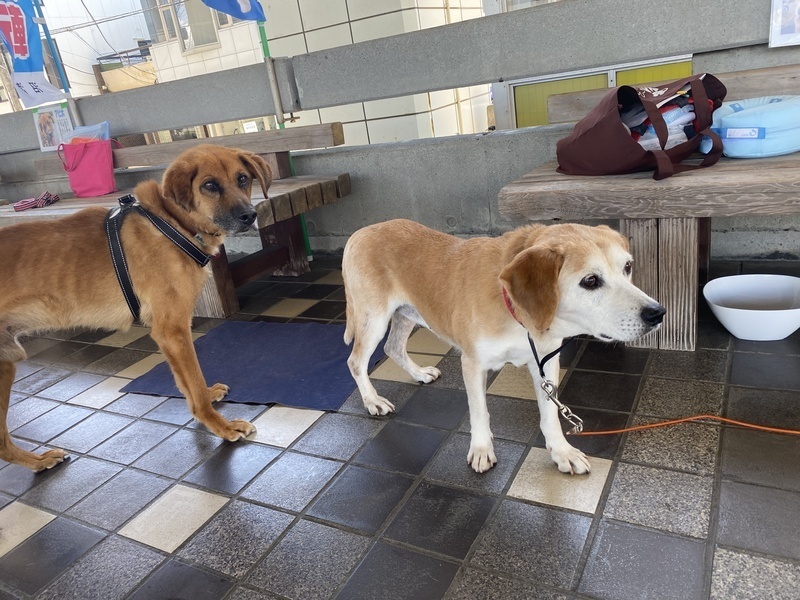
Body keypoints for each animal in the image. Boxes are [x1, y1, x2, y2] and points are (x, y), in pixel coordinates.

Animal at [0, 144, 271, 471]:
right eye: (209, 185)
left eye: (243, 178)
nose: (249, 216)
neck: (171, 222)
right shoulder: (172, 331)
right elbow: (194, 383)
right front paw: (222, 427)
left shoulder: (171, 334)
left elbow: (187, 385)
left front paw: (204, 400)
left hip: (5, 364)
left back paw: (38, 461)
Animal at [343, 219, 665, 474]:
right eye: (590, 280)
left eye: (627, 267)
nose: (657, 313)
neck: (519, 314)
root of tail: (360, 231)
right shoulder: (472, 363)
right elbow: (479, 411)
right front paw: (481, 449)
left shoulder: (546, 361)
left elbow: (550, 414)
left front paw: (561, 451)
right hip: (374, 319)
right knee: (356, 361)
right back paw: (373, 401)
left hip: (408, 314)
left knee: (393, 348)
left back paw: (418, 373)